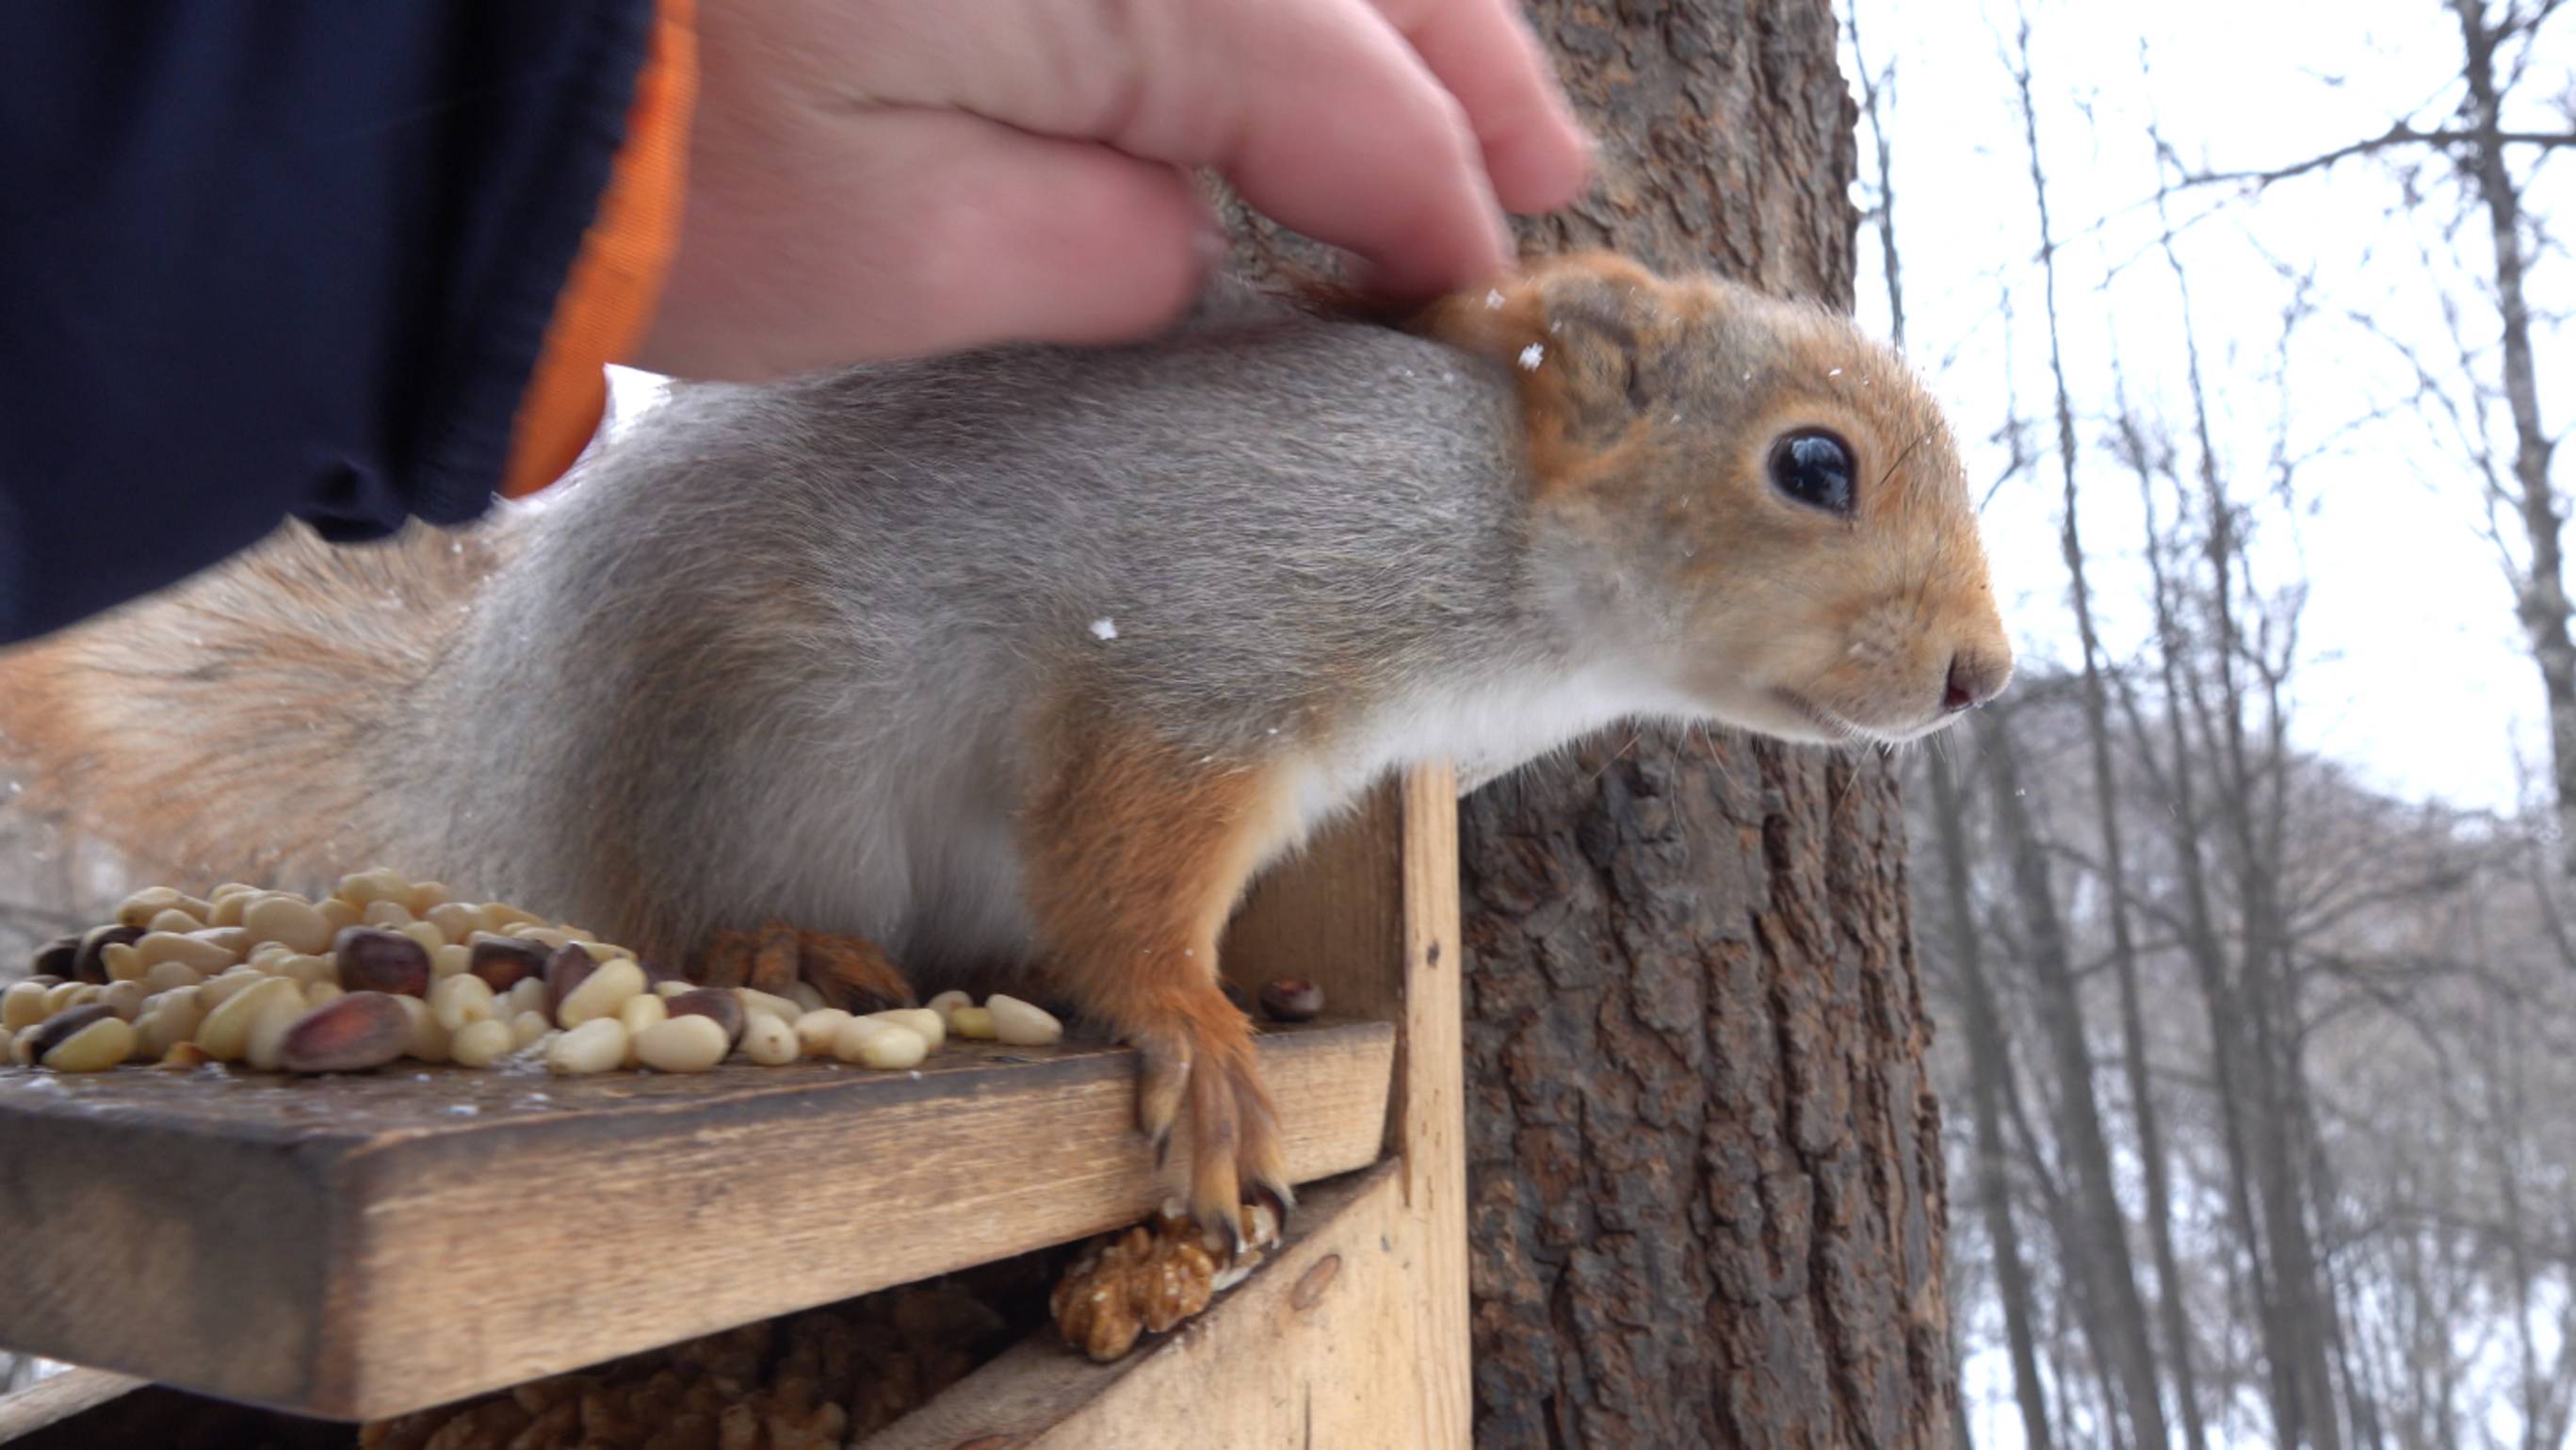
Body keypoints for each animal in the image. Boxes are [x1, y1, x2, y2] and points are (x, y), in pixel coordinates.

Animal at [0, 252, 2009, 1246]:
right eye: (1811, 464)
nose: (1983, 675)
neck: (1503, 551)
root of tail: (482, 736)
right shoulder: (1200, 646)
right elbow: (1124, 858)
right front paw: (1193, 1028)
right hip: (766, 746)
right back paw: (783, 948)